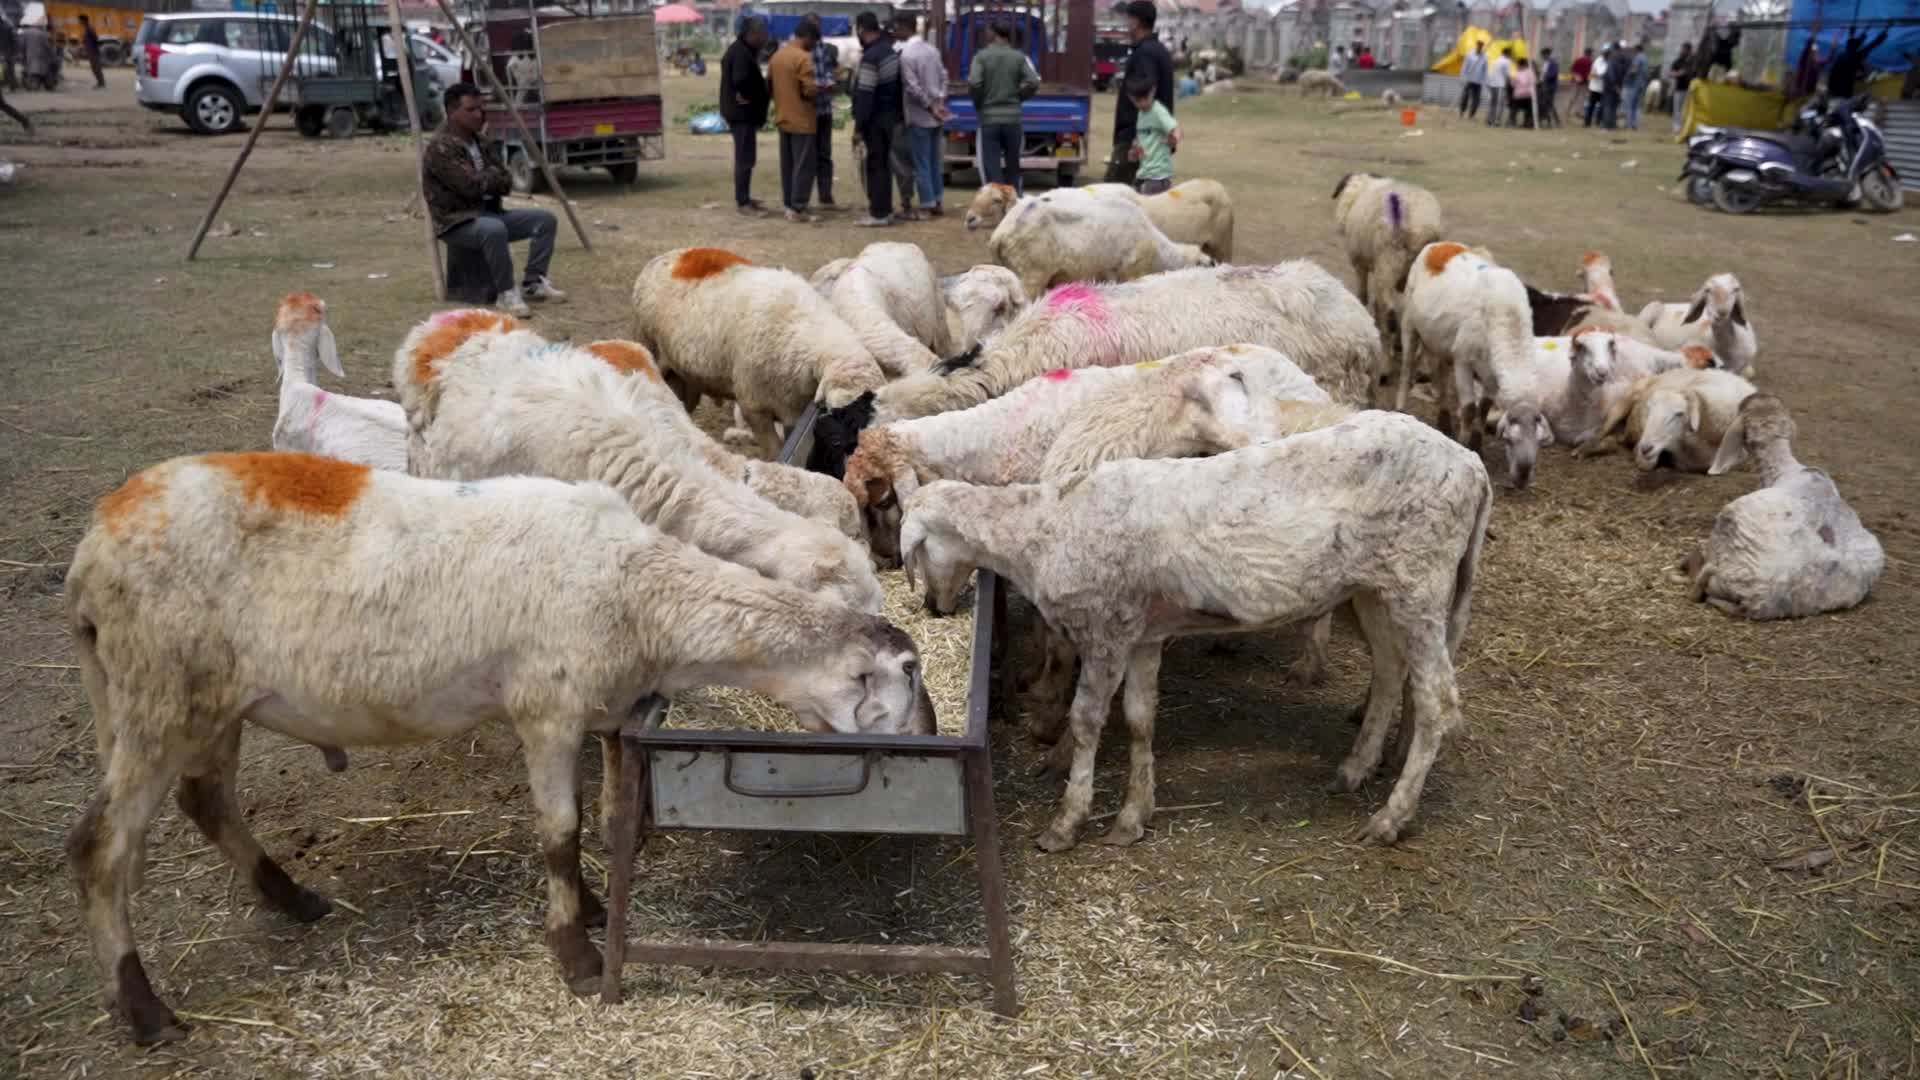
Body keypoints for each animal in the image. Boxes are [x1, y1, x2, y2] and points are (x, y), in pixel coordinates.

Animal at [62, 452, 932, 1045]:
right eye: (909, 673)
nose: (930, 738)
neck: (641, 590)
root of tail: (90, 548)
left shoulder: (607, 711)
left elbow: (610, 817)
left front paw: (595, 904)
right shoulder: (546, 706)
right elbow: (559, 833)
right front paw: (576, 956)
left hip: (204, 701)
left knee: (206, 800)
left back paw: (290, 898)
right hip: (156, 695)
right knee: (101, 849)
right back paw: (143, 1010)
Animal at [631, 247, 888, 457]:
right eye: (842, 414)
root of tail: (666, 256)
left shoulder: (792, 410)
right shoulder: (754, 408)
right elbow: (774, 452)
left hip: (684, 378)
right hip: (648, 347)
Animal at [898, 410, 1492, 850]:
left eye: (917, 550)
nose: (933, 608)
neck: (1041, 531)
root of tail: (1471, 464)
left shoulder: (1107, 629)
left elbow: (1088, 722)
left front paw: (1067, 820)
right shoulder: (1143, 633)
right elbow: (1140, 720)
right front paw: (1133, 817)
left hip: (1420, 578)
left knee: (1438, 702)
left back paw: (1393, 816)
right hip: (1373, 587)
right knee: (1391, 672)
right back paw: (1356, 768)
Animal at [1331, 173, 1445, 378]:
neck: (1360, 190)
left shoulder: (1361, 265)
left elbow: (1363, 297)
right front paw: (1400, 343)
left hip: (1387, 263)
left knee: (1386, 310)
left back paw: (1385, 366)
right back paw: (1423, 368)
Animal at [1571, 366, 1758, 471]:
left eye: (1679, 413)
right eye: (1648, 410)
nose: (1645, 448)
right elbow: (1646, 464)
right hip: (1620, 406)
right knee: (1602, 432)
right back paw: (1583, 450)